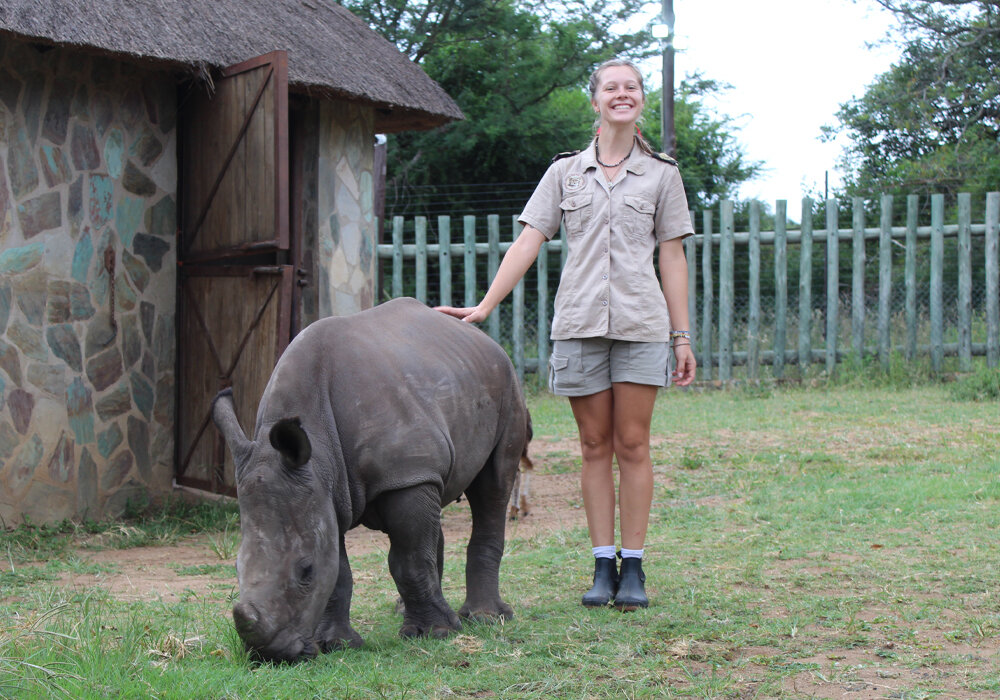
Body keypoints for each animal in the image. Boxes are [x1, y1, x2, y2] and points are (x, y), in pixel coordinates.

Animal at [211, 297, 529, 662]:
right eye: (235, 568)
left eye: (306, 570)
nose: (269, 654)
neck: (318, 450)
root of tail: (482, 338)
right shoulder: (324, 492)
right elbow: (339, 569)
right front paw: (336, 644)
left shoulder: (403, 476)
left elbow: (407, 561)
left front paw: (437, 633)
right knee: (433, 512)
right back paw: (405, 608)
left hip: (505, 385)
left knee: (492, 489)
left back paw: (485, 618)